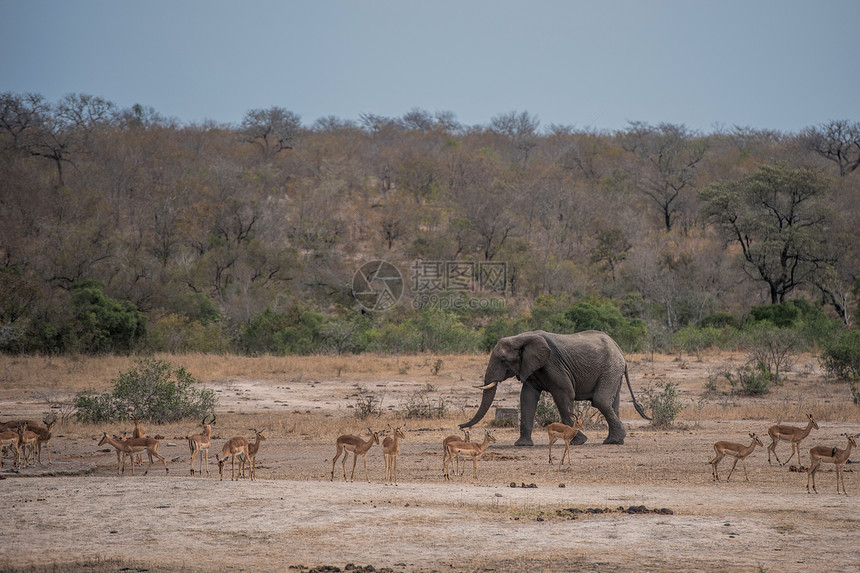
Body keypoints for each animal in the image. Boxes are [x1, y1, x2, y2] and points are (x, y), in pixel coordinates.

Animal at [460, 328, 648, 444]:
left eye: (504, 360)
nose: (461, 426)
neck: (522, 337)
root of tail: (619, 349)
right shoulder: (531, 367)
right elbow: (527, 397)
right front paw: (522, 445)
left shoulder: (553, 364)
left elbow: (564, 395)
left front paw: (578, 441)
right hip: (613, 371)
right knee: (612, 403)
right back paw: (613, 441)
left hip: (610, 368)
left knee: (600, 400)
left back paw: (614, 440)